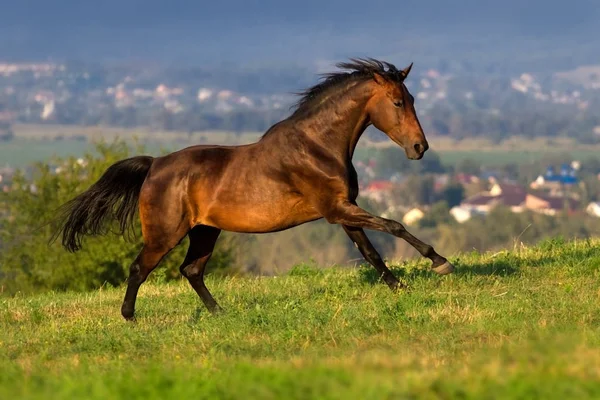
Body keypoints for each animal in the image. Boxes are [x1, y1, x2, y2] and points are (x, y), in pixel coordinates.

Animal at [52, 57, 454, 320]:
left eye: (412, 100)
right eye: (398, 102)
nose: (420, 148)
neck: (317, 146)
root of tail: (154, 165)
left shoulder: (344, 209)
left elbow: (371, 252)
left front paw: (401, 288)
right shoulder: (336, 209)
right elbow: (394, 225)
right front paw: (440, 262)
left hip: (205, 232)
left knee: (191, 270)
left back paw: (220, 313)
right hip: (166, 233)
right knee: (140, 268)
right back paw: (130, 316)